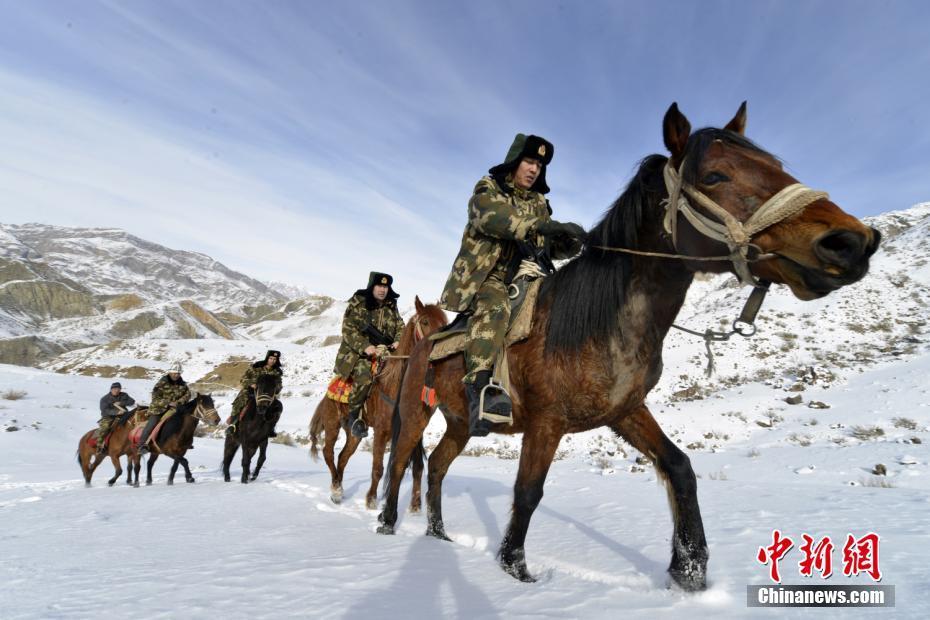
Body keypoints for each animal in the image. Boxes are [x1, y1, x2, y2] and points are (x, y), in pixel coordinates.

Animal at [308, 296, 446, 508]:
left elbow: (418, 467)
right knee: (328, 452)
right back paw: (336, 490)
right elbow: (378, 468)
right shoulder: (381, 431)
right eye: (424, 322)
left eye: (446, 322)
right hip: (332, 425)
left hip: (354, 434)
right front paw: (371, 499)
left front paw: (415, 506)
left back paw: (339, 489)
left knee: (343, 457)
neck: (396, 384)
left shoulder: (414, 432)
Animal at [376, 103, 876, 592]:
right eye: (715, 176)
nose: (850, 241)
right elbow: (528, 492)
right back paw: (386, 522)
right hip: (418, 412)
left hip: (461, 423)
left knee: (437, 466)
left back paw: (439, 534)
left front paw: (689, 569)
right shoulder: (546, 422)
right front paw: (516, 570)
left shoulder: (625, 411)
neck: (596, 322)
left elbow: (680, 467)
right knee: (399, 462)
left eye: (776, 167)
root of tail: (419, 348)